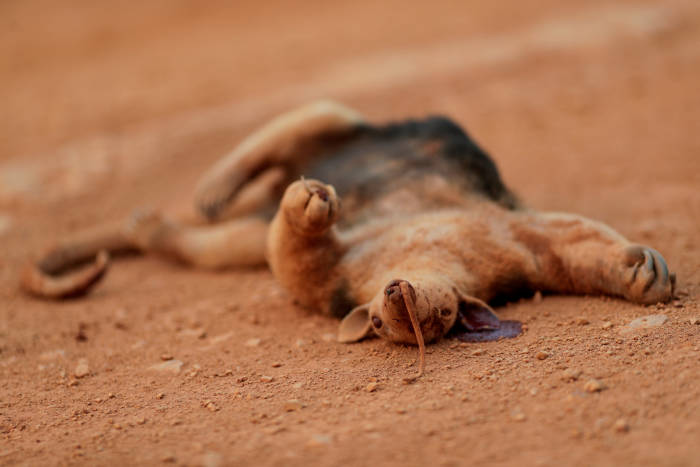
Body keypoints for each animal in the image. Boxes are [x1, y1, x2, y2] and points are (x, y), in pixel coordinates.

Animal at [21, 100, 676, 378]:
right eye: (382, 325)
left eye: (436, 321)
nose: (395, 296)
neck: (427, 254)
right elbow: (570, 234)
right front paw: (648, 269)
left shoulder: (510, 238)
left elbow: (571, 242)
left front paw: (644, 273)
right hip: (355, 132)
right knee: (303, 121)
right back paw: (217, 188)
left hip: (248, 231)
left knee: (211, 234)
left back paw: (159, 221)